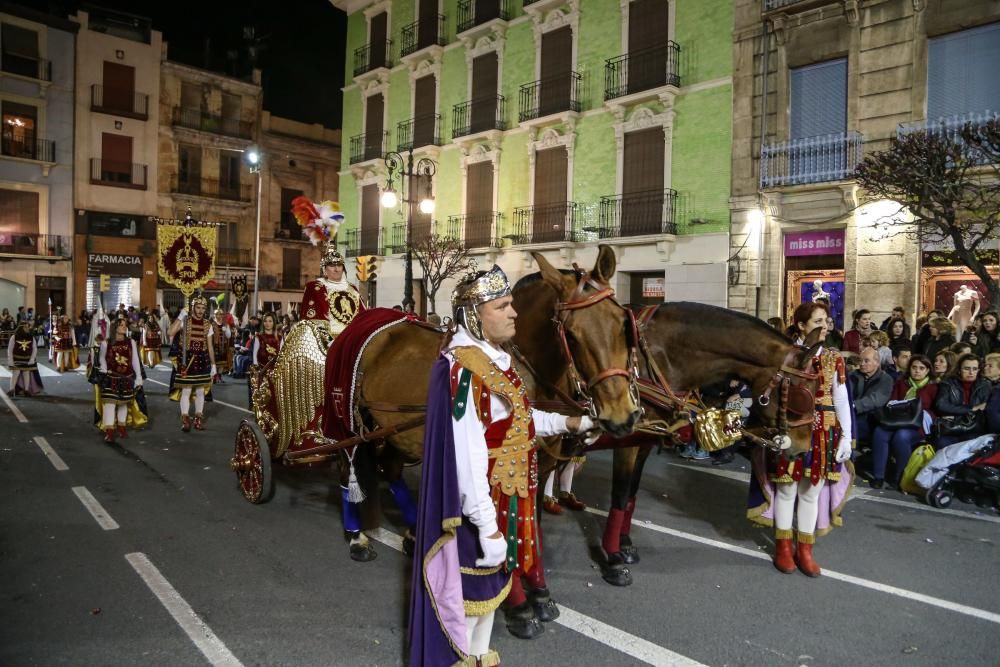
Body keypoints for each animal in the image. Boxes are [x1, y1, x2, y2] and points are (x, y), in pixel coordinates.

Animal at [344, 243, 640, 560]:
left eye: (624, 324)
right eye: (571, 336)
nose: (621, 415)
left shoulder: (542, 466)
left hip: (396, 430)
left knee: (390, 467)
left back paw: (413, 534)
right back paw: (357, 536)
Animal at [592, 306, 820, 588]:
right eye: (802, 397)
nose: (802, 449)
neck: (657, 354)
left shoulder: (644, 439)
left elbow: (632, 492)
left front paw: (624, 545)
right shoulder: (626, 440)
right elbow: (621, 495)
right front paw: (613, 558)